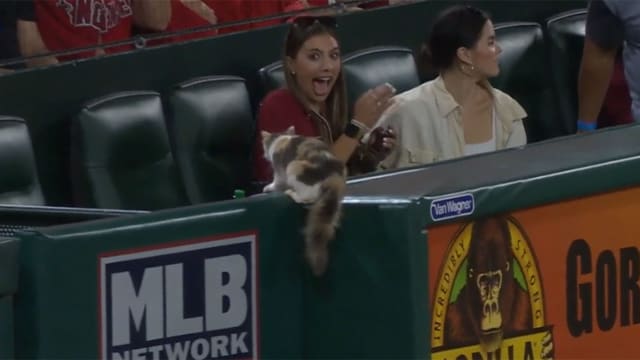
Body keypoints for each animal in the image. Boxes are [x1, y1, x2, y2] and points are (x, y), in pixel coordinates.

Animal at [262, 126, 348, 276]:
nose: (264, 154)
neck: (281, 137)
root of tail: (333, 176)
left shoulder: (279, 171)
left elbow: (276, 182)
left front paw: (269, 188)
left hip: (294, 166)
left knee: (307, 197)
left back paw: (292, 193)